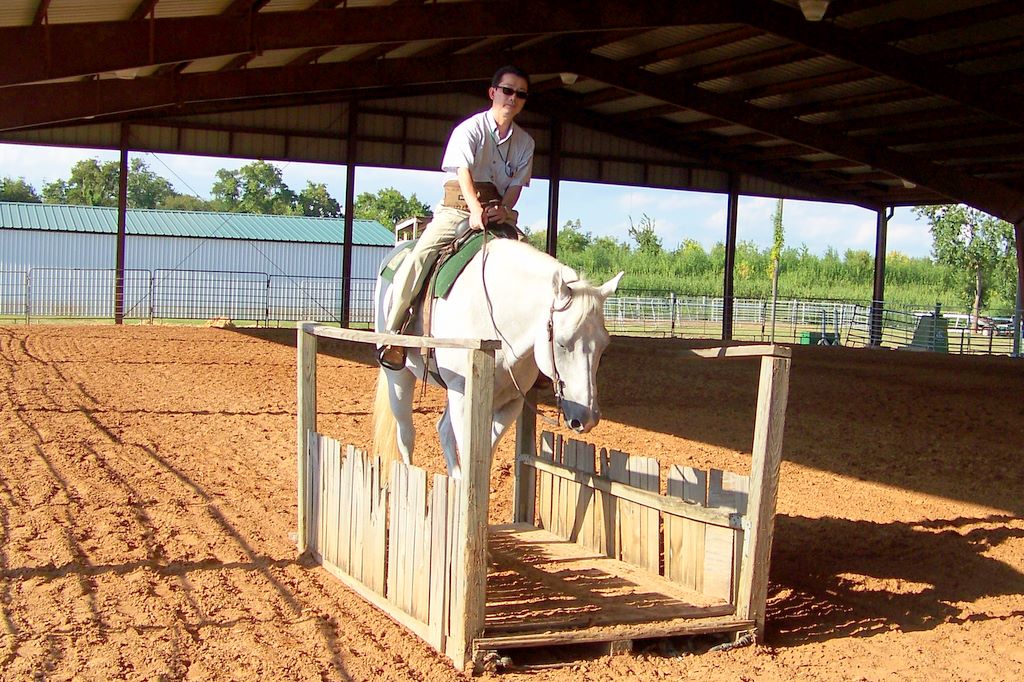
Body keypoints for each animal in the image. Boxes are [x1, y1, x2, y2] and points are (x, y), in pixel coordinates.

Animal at [372, 236, 623, 480]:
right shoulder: (462, 396)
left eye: (604, 346)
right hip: (399, 376)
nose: (587, 418)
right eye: (562, 342)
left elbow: (484, 456)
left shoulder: (510, 402)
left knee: (443, 430)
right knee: (406, 434)